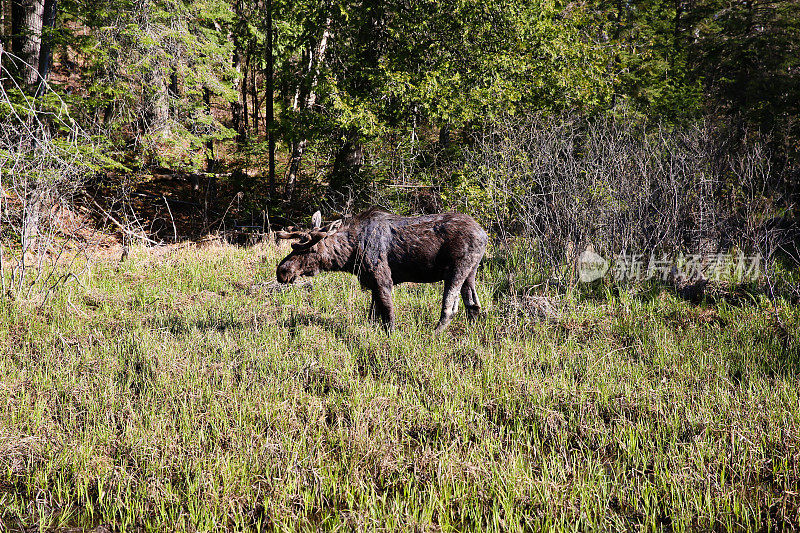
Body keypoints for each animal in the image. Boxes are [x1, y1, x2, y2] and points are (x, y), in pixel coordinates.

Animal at [276, 206, 488, 330]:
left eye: (310, 249)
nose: (282, 271)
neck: (350, 255)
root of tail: (484, 234)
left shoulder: (383, 279)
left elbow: (388, 315)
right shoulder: (372, 282)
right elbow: (374, 314)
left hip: (456, 270)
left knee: (450, 309)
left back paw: (433, 334)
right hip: (471, 272)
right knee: (474, 305)